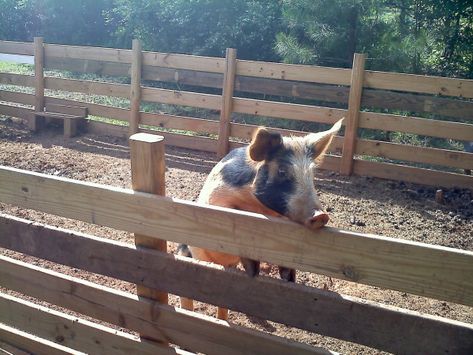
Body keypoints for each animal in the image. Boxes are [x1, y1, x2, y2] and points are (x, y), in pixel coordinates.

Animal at [179, 119, 342, 320]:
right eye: (282, 171)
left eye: (311, 175)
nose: (321, 215)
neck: (257, 207)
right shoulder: (216, 202)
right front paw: (253, 271)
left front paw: (288, 277)